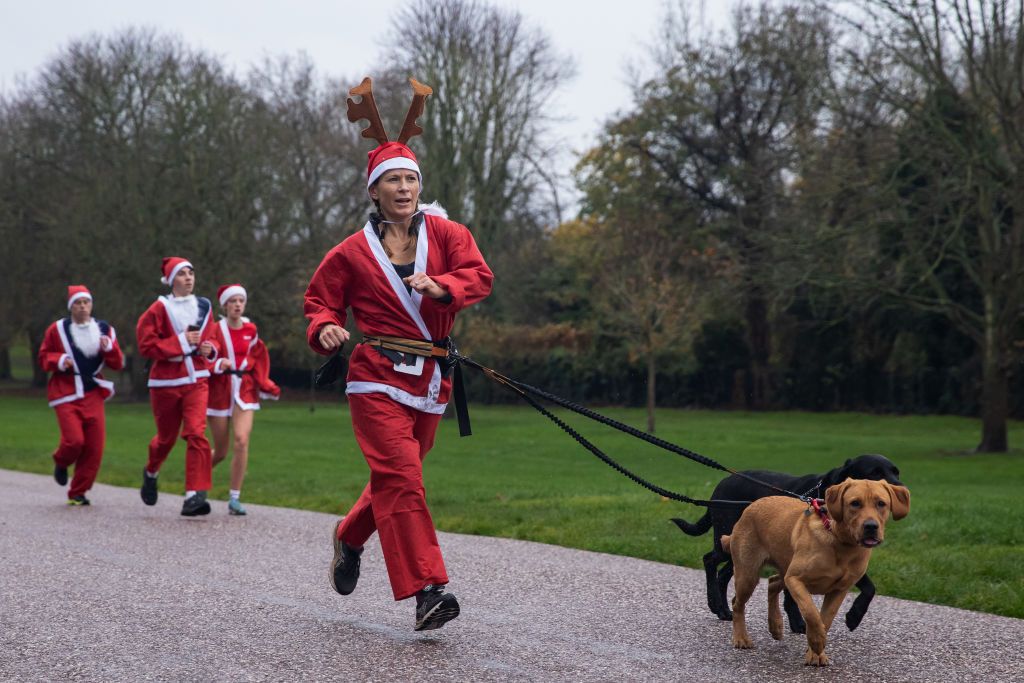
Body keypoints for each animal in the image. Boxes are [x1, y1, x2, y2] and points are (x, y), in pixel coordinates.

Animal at [675, 454, 901, 634]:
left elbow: (869, 588)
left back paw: (723, 610)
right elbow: (792, 596)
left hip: (744, 551)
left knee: (723, 574)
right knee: (709, 560)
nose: (900, 490)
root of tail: (721, 484)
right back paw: (714, 602)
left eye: (896, 472)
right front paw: (798, 624)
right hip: (729, 539)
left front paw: (854, 616)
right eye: (874, 473)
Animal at [720, 479, 913, 663]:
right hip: (749, 574)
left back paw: (775, 625)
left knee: (773, 583)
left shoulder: (839, 590)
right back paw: (741, 638)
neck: (841, 544)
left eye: (881, 503)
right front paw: (817, 640)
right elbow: (810, 612)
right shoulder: (795, 580)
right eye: (855, 503)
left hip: (784, 567)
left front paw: (815, 653)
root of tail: (749, 507)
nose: (871, 526)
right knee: (737, 602)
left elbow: (826, 619)